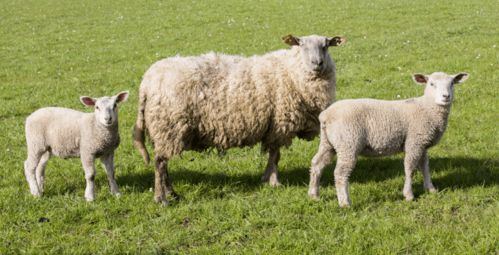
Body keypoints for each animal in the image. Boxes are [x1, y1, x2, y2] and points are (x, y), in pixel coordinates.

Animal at [133, 34, 348, 205]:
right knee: (160, 164)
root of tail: (146, 82)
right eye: (302, 45)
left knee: (164, 164)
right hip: (168, 127)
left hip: (165, 132)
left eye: (326, 45)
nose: (317, 63)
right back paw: (161, 198)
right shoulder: (280, 125)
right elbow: (275, 156)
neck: (292, 71)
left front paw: (266, 178)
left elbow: (273, 156)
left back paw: (172, 193)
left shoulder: (274, 127)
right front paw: (274, 182)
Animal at [308, 71, 468, 207]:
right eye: (432, 84)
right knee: (340, 173)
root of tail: (325, 115)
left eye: (452, 83)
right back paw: (345, 203)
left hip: (329, 143)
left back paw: (314, 195)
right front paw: (409, 195)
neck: (426, 108)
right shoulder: (414, 142)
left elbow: (425, 167)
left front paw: (431, 189)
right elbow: (410, 168)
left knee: (317, 164)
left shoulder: (422, 143)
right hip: (348, 143)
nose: (446, 96)